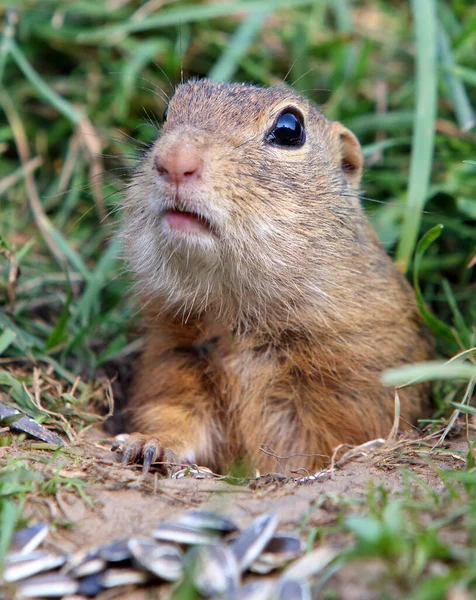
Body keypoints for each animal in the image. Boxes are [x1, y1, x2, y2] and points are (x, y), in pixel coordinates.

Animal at [121, 78, 434, 474]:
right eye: (165, 114)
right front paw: (149, 445)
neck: (238, 314)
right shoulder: (173, 356)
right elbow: (174, 413)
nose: (176, 160)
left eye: (289, 129)